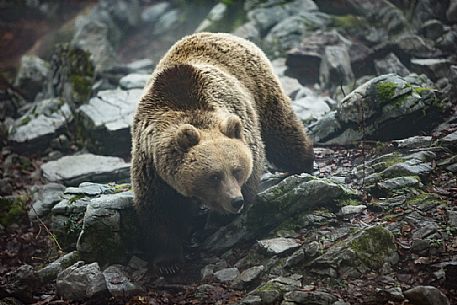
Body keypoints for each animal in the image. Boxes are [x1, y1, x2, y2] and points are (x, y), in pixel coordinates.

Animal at [130, 32, 312, 266]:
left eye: (237, 170)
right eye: (214, 176)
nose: (236, 201)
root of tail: (220, 34)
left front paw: (211, 226)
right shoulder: (151, 166)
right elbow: (159, 210)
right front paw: (168, 260)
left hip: (260, 87)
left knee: (282, 132)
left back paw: (305, 163)